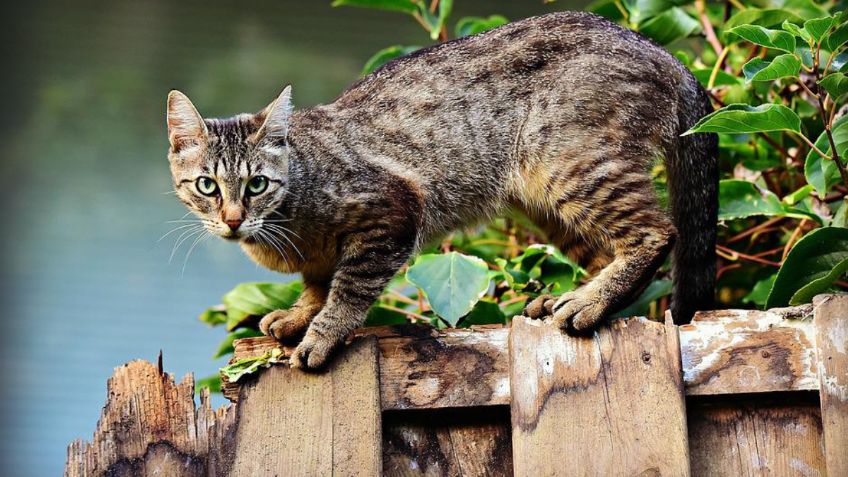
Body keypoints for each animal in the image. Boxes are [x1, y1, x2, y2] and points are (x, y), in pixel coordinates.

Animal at [164, 10, 716, 368]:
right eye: (207, 185)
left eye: (256, 184)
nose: (233, 219)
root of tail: (663, 53)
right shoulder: (320, 258)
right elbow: (317, 284)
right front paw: (300, 315)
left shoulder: (391, 213)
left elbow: (347, 289)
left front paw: (322, 333)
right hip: (543, 201)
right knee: (605, 251)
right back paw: (570, 297)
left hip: (570, 164)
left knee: (657, 234)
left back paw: (588, 303)